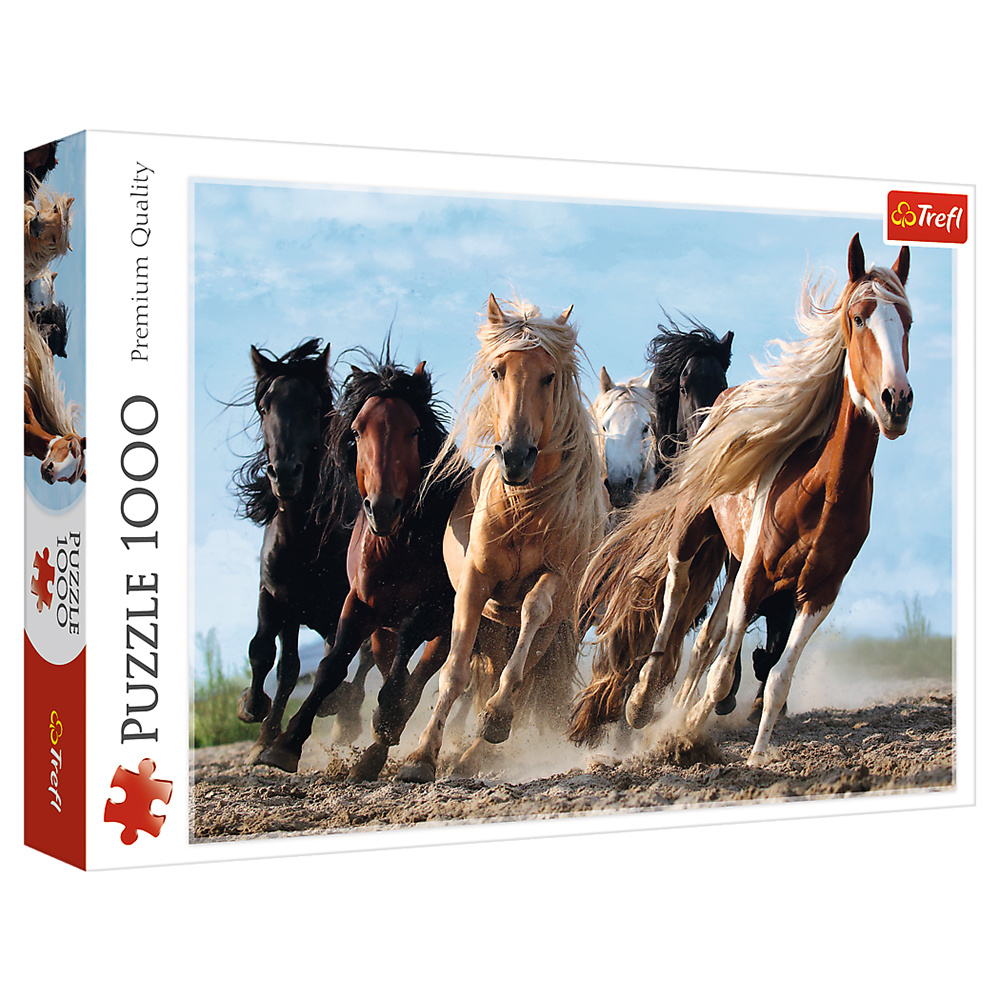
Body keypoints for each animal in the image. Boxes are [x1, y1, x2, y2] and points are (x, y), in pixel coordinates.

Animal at [232, 339, 373, 763]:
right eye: (265, 407)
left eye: (314, 407)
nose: (285, 474)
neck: (305, 539)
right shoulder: (277, 596)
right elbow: (269, 655)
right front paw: (256, 719)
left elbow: (339, 659)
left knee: (361, 658)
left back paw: (345, 717)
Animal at [254, 352, 472, 781]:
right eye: (356, 431)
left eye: (414, 431)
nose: (382, 507)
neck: (398, 546)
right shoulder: (358, 603)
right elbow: (331, 665)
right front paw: (286, 743)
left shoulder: (437, 609)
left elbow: (407, 658)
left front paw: (384, 718)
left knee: (419, 676)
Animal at [396, 294, 606, 783]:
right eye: (497, 371)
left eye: (549, 376)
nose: (515, 456)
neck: (524, 509)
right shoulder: (476, 583)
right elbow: (454, 671)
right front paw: (420, 755)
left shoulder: (556, 579)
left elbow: (532, 611)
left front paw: (495, 718)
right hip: (494, 628)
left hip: (550, 631)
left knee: (525, 676)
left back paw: (479, 749)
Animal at [577, 234, 912, 765]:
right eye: (859, 317)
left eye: (908, 321)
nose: (896, 400)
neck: (822, 490)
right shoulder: (754, 570)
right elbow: (714, 665)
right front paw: (678, 729)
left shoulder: (818, 593)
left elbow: (774, 675)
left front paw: (752, 754)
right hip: (693, 532)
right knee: (674, 594)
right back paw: (643, 698)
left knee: (707, 641)